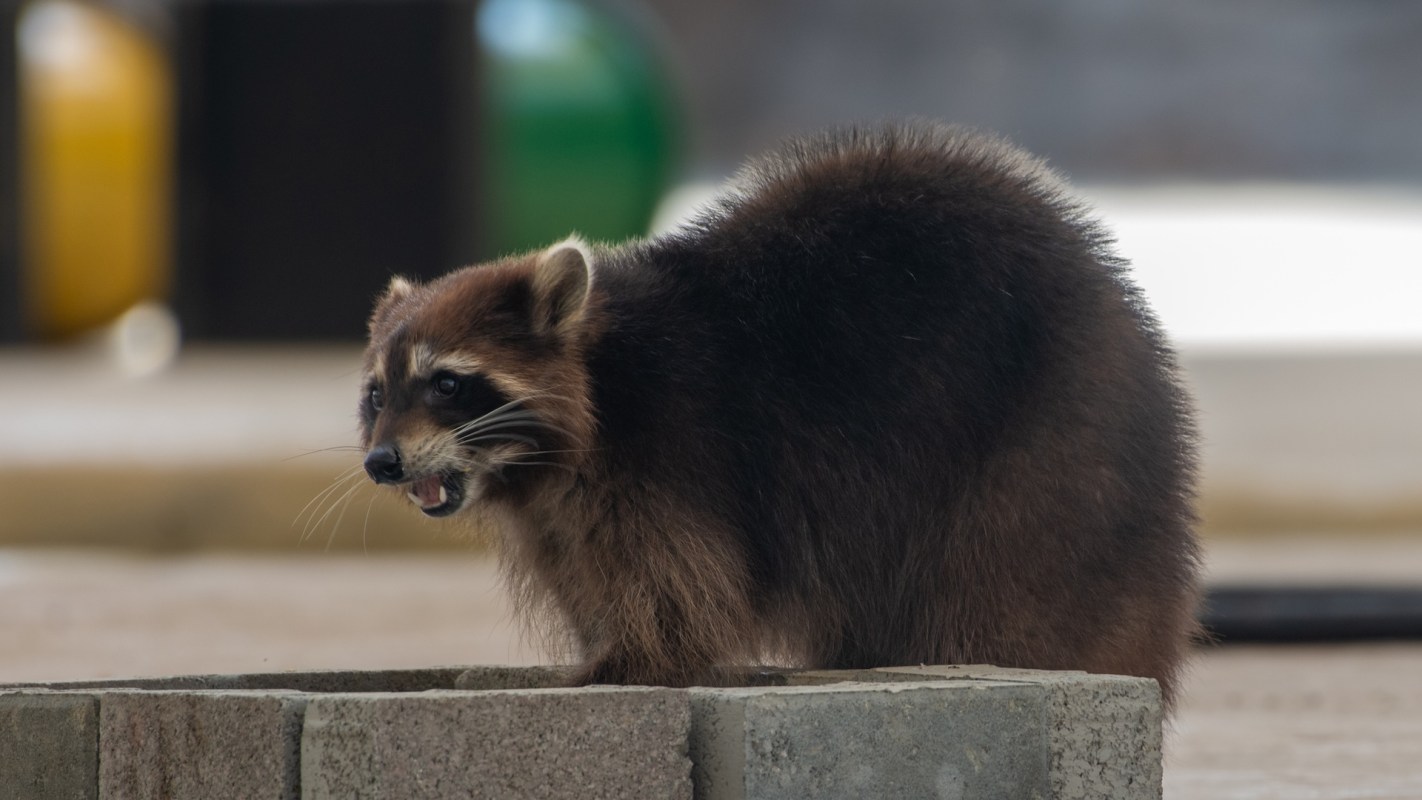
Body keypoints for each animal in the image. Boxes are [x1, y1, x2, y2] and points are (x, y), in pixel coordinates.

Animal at [358, 123, 1201, 704]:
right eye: (375, 394)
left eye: (446, 384)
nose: (381, 462)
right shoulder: (565, 510)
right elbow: (598, 576)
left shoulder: (674, 453)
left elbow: (678, 595)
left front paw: (625, 668)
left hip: (1047, 456)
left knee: (1007, 598)